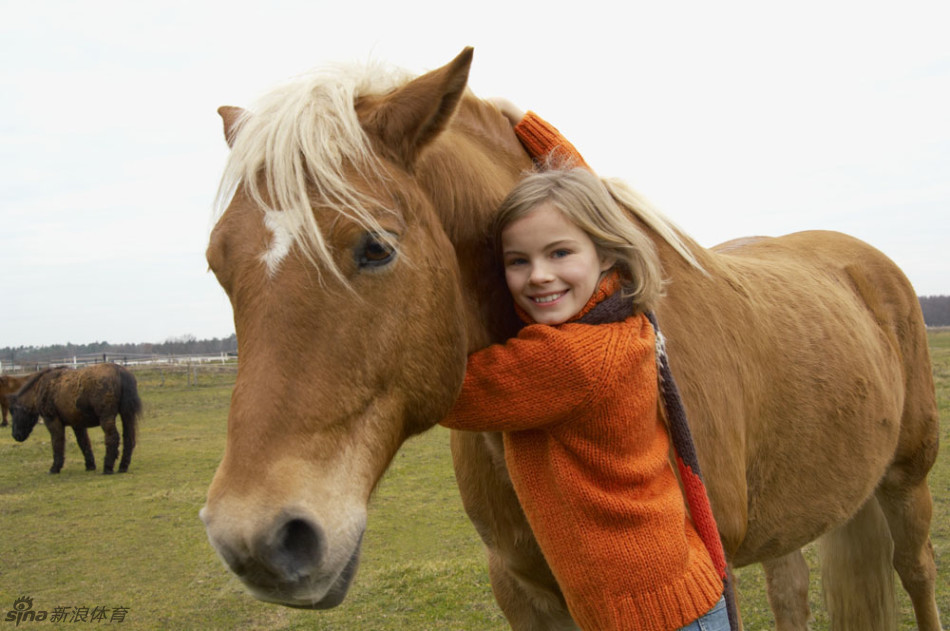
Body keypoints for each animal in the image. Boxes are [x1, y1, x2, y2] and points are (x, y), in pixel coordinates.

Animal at [11, 360, 142, 474]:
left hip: (107, 418)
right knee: (129, 438)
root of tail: (120, 371)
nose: (15, 435)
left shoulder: (53, 421)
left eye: (14, 413)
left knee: (113, 437)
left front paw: (55, 468)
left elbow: (57, 442)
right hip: (127, 415)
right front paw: (90, 465)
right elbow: (84, 443)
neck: (43, 387)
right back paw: (123, 467)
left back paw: (108, 468)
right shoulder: (77, 424)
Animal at [201, 49, 944, 631]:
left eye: (375, 247)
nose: (256, 540)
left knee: (917, 572)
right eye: (216, 264)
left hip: (906, 483)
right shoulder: (523, 591)